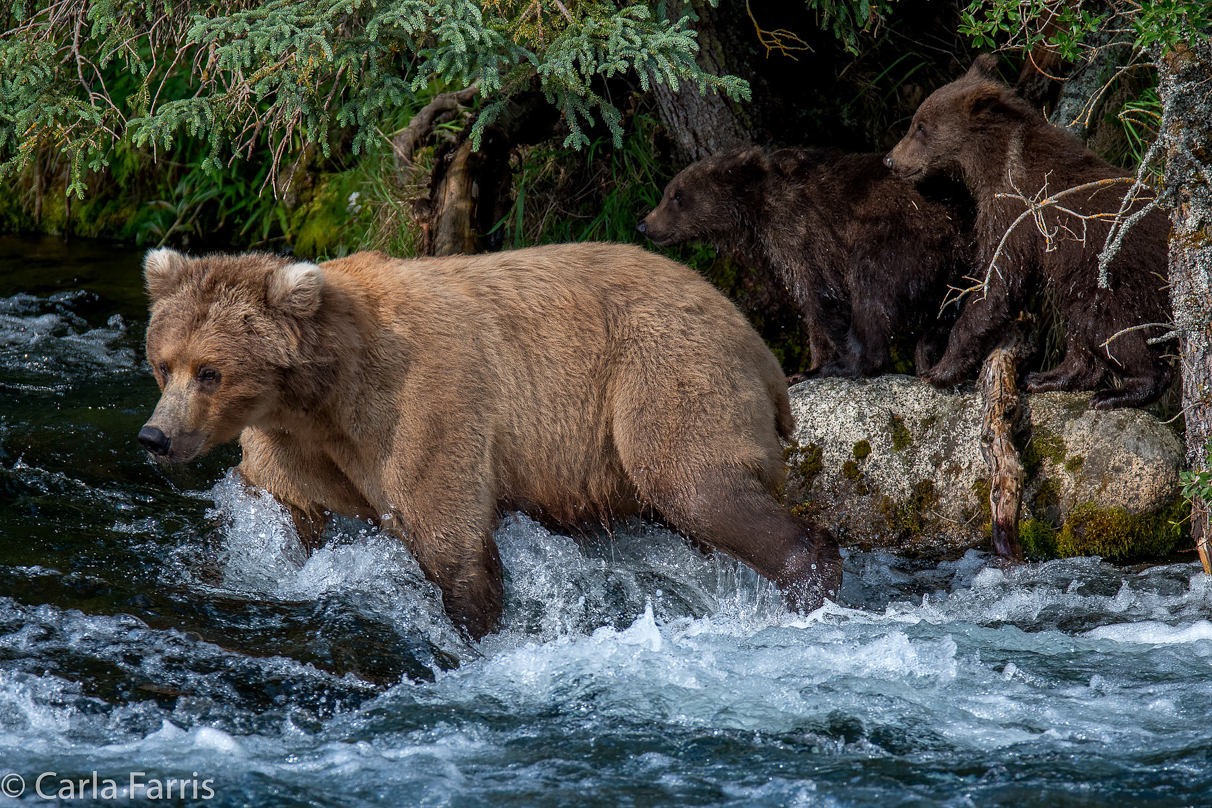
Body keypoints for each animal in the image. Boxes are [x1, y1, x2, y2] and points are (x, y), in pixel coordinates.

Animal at [137, 239, 843, 639]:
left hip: (664, 375)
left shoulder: (422, 402)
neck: (324, 393)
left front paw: (476, 628)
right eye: (164, 363)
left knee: (697, 484)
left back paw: (808, 584)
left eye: (210, 370)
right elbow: (284, 515)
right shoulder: (298, 448)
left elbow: (447, 528)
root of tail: (757, 343)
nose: (155, 436)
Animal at [635, 149, 974, 380]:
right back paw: (927, 358)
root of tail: (956, 225)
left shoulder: (802, 231)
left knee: (871, 287)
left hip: (901, 239)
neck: (759, 207)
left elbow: (818, 294)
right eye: (669, 193)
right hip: (950, 270)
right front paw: (812, 363)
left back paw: (851, 363)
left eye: (677, 195)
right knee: (942, 315)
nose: (644, 224)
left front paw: (812, 366)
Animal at [882, 55, 1173, 411]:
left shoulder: (1016, 215)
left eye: (920, 126)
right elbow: (973, 275)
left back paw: (1120, 392)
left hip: (1120, 275)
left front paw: (941, 370)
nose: (890, 159)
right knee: (1080, 323)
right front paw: (927, 348)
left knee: (1111, 326)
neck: (994, 163)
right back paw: (1048, 377)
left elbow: (996, 281)